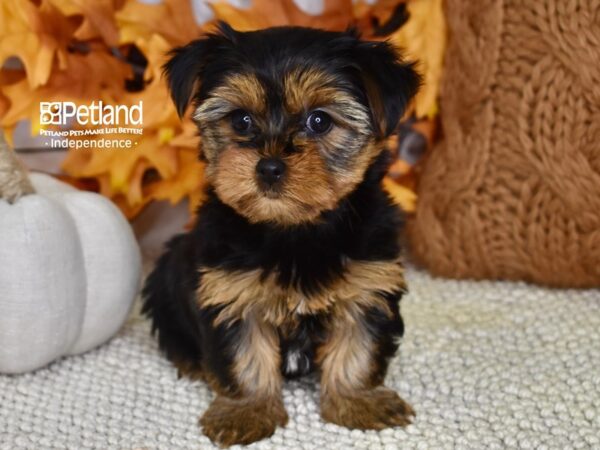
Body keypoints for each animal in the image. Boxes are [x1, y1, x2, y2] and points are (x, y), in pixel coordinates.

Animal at [143, 22, 420, 446]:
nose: (269, 167)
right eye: (241, 121)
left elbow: (358, 348)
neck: (294, 230)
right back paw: (192, 361)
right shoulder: (231, 293)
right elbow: (245, 357)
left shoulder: (368, 284)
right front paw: (246, 411)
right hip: (164, 279)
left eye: (319, 121)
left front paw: (359, 402)